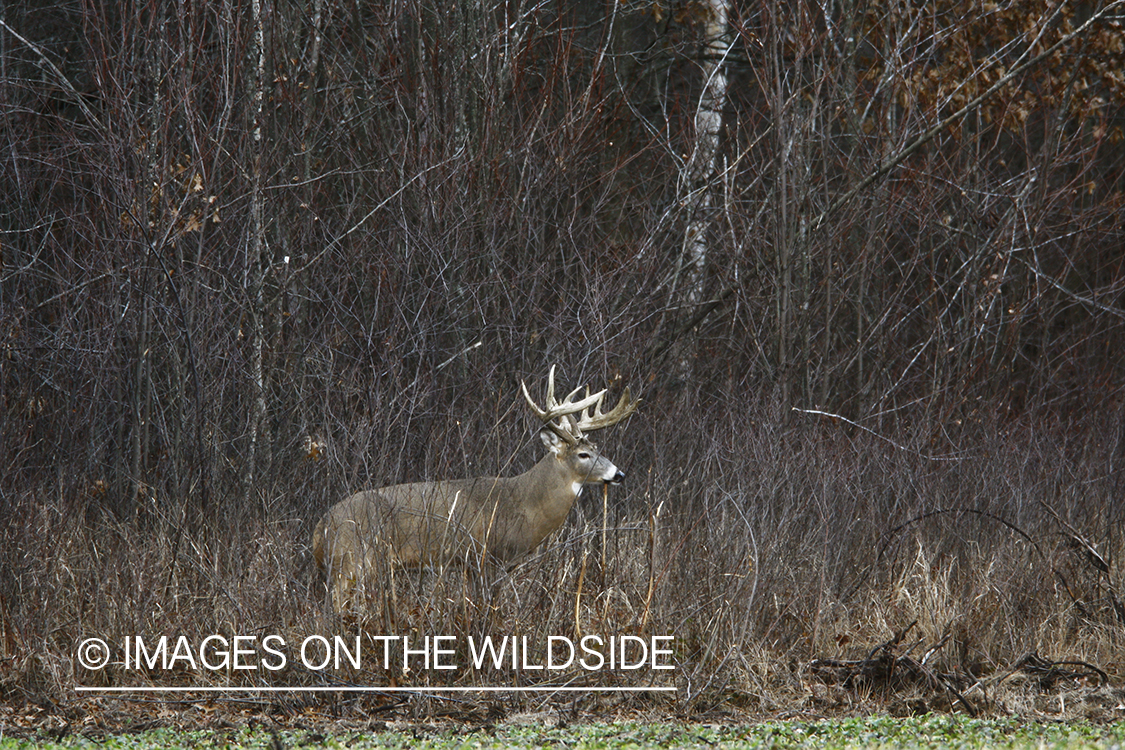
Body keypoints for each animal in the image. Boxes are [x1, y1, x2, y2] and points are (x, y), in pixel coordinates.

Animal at [312, 366, 639, 611]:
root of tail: (321, 525)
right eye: (583, 455)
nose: (619, 473)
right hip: (353, 560)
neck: (526, 504)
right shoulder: (488, 555)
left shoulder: (473, 563)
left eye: (597, 448)